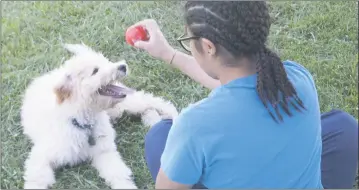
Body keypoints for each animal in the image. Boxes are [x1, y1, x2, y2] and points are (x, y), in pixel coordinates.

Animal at [20, 43, 178, 189]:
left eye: (106, 62)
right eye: (95, 71)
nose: (123, 66)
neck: (84, 122)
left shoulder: (104, 151)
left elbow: (118, 173)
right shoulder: (42, 156)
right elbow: (37, 178)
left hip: (122, 105)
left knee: (148, 100)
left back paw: (171, 114)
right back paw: (152, 120)